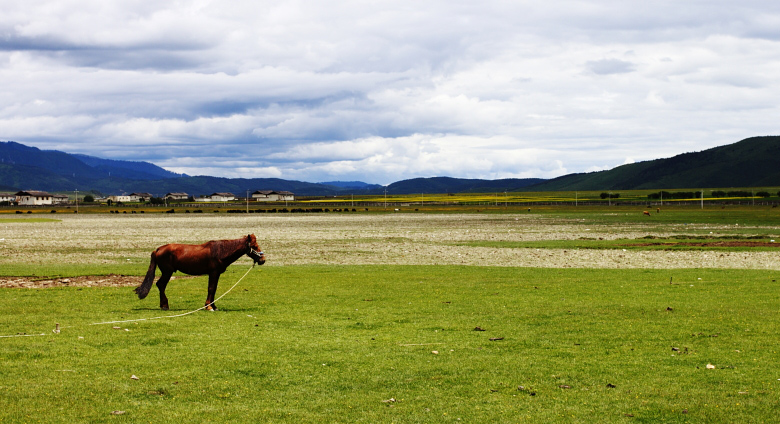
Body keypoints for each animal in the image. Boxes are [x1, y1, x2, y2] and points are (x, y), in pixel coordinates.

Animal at [136, 234, 266, 310]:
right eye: (254, 246)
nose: (262, 260)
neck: (220, 252)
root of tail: (158, 249)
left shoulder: (216, 274)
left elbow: (214, 289)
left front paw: (213, 306)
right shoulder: (213, 273)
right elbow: (211, 288)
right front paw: (208, 307)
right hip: (167, 272)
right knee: (161, 285)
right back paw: (164, 305)